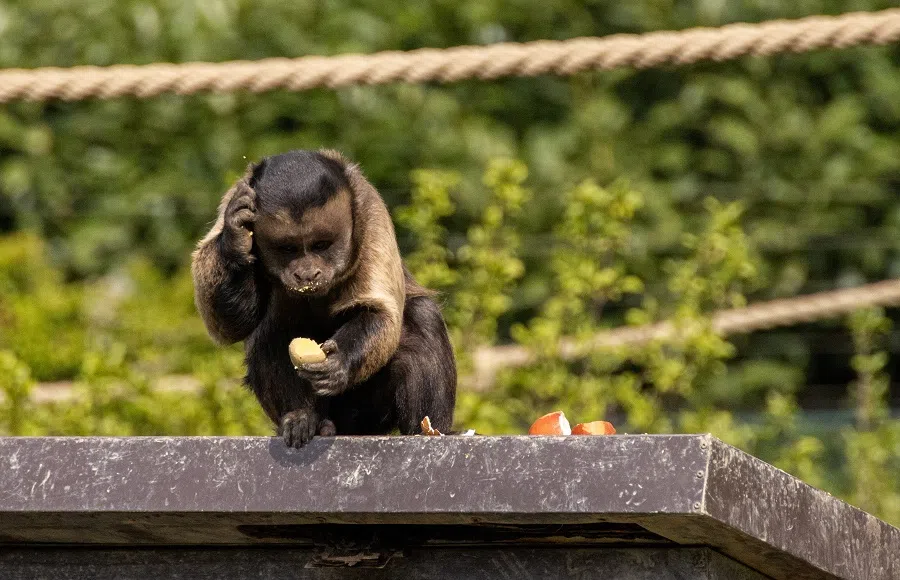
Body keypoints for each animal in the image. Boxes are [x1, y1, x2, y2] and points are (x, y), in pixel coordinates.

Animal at [191, 149, 457, 448]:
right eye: (288, 248)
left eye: (320, 245)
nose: (307, 274)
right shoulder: (234, 196)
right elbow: (228, 326)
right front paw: (236, 237)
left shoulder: (370, 211)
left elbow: (379, 312)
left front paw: (339, 362)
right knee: (272, 330)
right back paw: (305, 418)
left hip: (362, 415)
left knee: (422, 316)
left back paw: (428, 429)